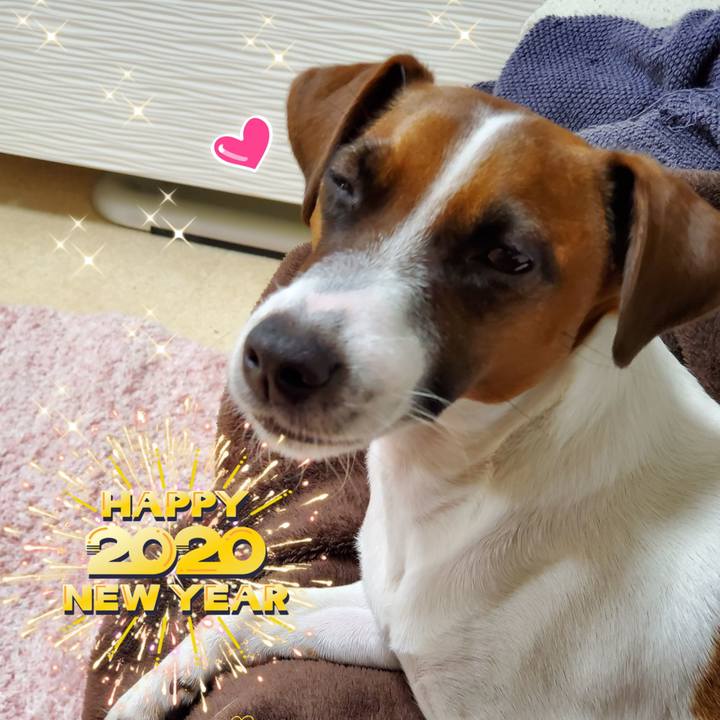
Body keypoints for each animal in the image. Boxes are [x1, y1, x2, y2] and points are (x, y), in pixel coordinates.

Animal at [108, 54, 720, 720]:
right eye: (343, 182)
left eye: (508, 258)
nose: (278, 358)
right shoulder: (390, 625)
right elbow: (249, 615)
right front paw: (146, 695)